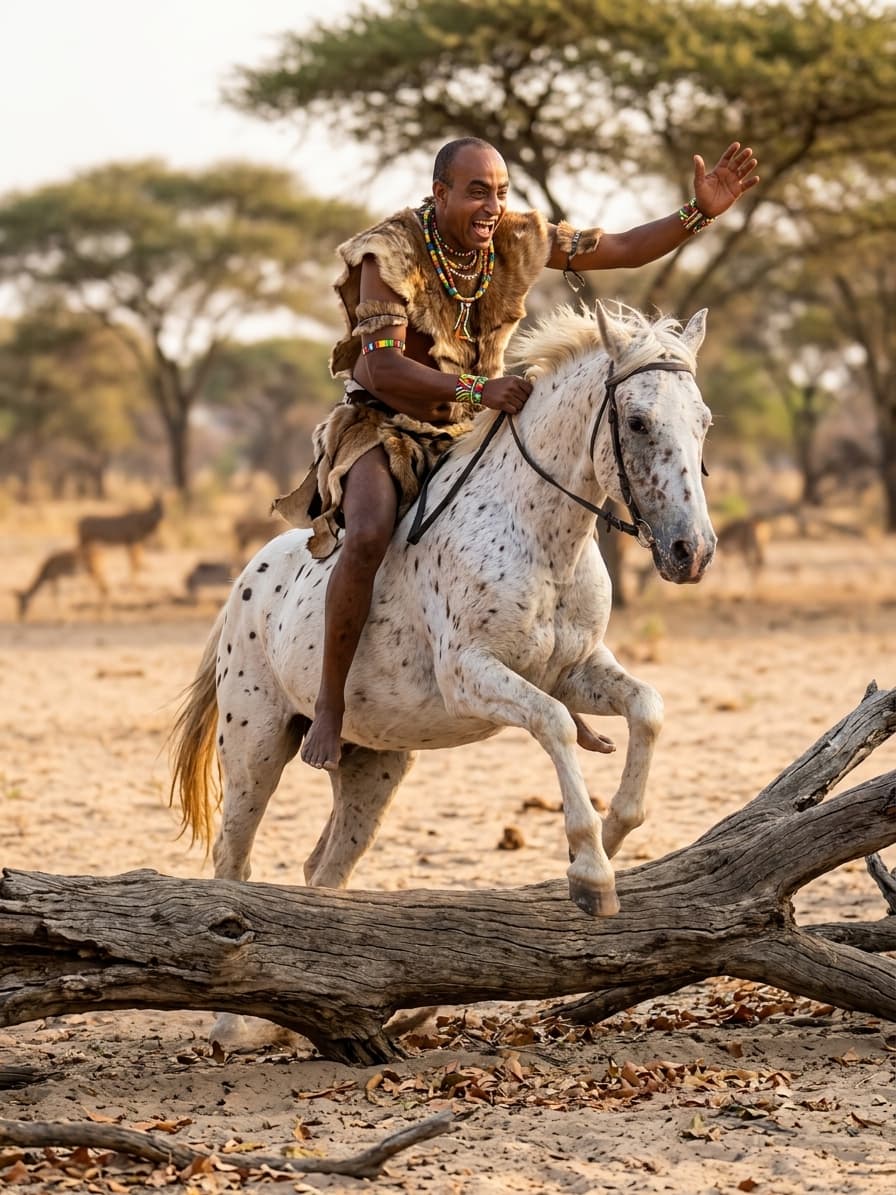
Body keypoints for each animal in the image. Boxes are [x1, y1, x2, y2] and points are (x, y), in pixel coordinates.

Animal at [171, 303, 715, 944]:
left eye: (704, 422)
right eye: (636, 422)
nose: (692, 551)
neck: (540, 538)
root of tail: (241, 588)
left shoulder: (574, 671)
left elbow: (647, 708)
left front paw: (608, 839)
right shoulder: (469, 676)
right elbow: (555, 724)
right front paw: (590, 871)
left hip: (374, 765)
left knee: (324, 868)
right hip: (254, 748)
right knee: (233, 863)